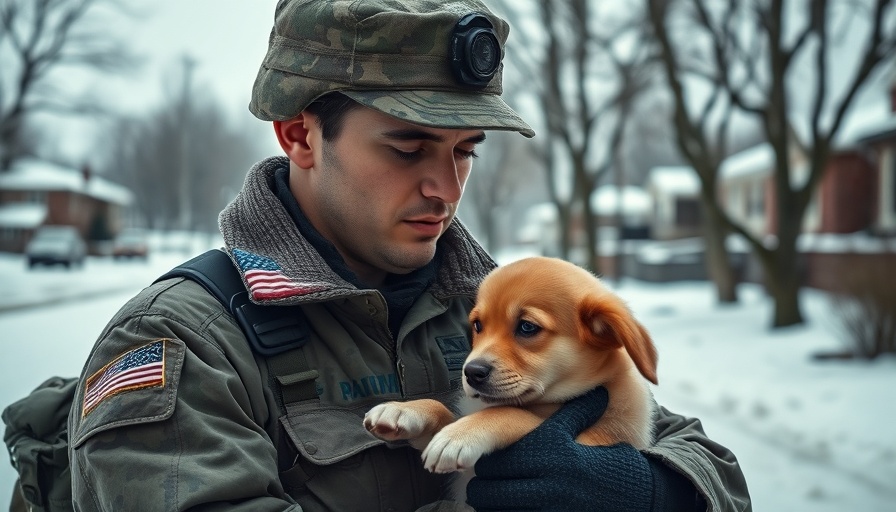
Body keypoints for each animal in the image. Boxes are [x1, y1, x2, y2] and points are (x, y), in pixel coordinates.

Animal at [364, 256, 656, 476]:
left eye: (527, 327)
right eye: (477, 325)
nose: (471, 373)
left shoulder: (589, 441)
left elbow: (511, 414)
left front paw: (458, 436)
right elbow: (444, 411)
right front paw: (402, 410)